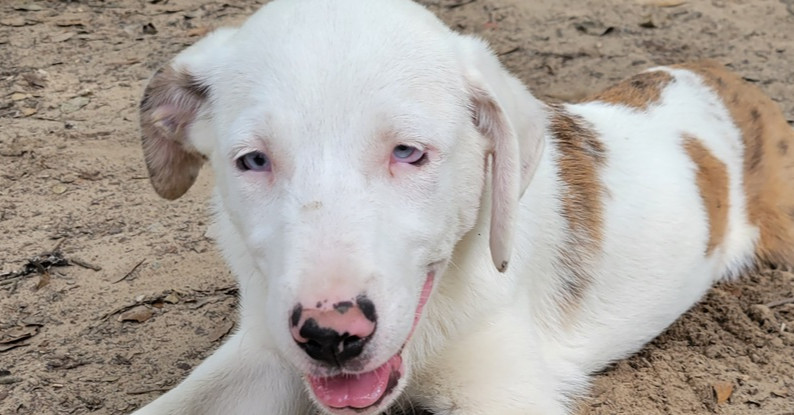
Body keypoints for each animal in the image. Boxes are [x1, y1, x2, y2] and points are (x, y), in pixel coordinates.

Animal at [131, 0, 792, 414]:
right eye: (253, 161)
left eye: (408, 152)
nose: (330, 337)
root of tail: (724, 74)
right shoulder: (264, 353)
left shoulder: (503, 388)